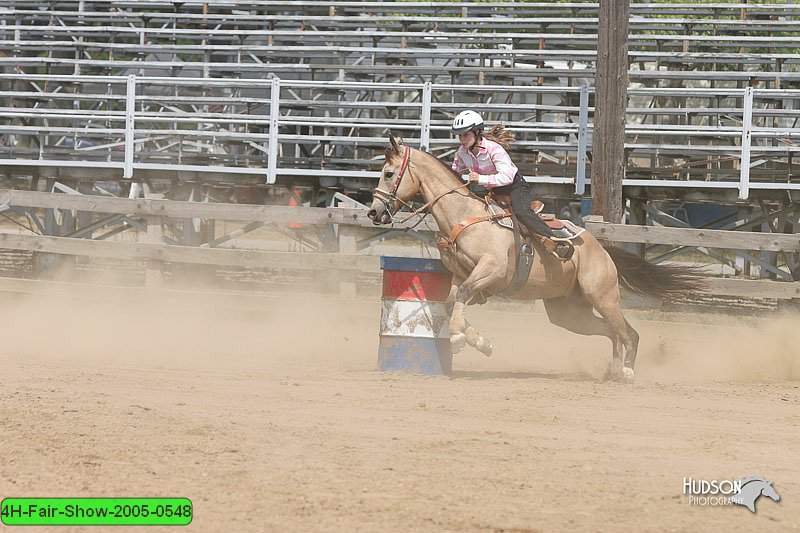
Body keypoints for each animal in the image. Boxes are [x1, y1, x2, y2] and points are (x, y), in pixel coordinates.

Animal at [366, 135, 704, 380]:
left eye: (389, 173)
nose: (374, 212)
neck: (463, 214)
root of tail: (601, 249)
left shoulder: (491, 269)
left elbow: (460, 298)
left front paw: (468, 340)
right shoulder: (466, 277)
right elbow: (451, 303)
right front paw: (474, 341)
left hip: (602, 295)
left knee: (628, 332)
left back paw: (628, 371)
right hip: (568, 312)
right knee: (611, 331)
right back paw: (613, 370)